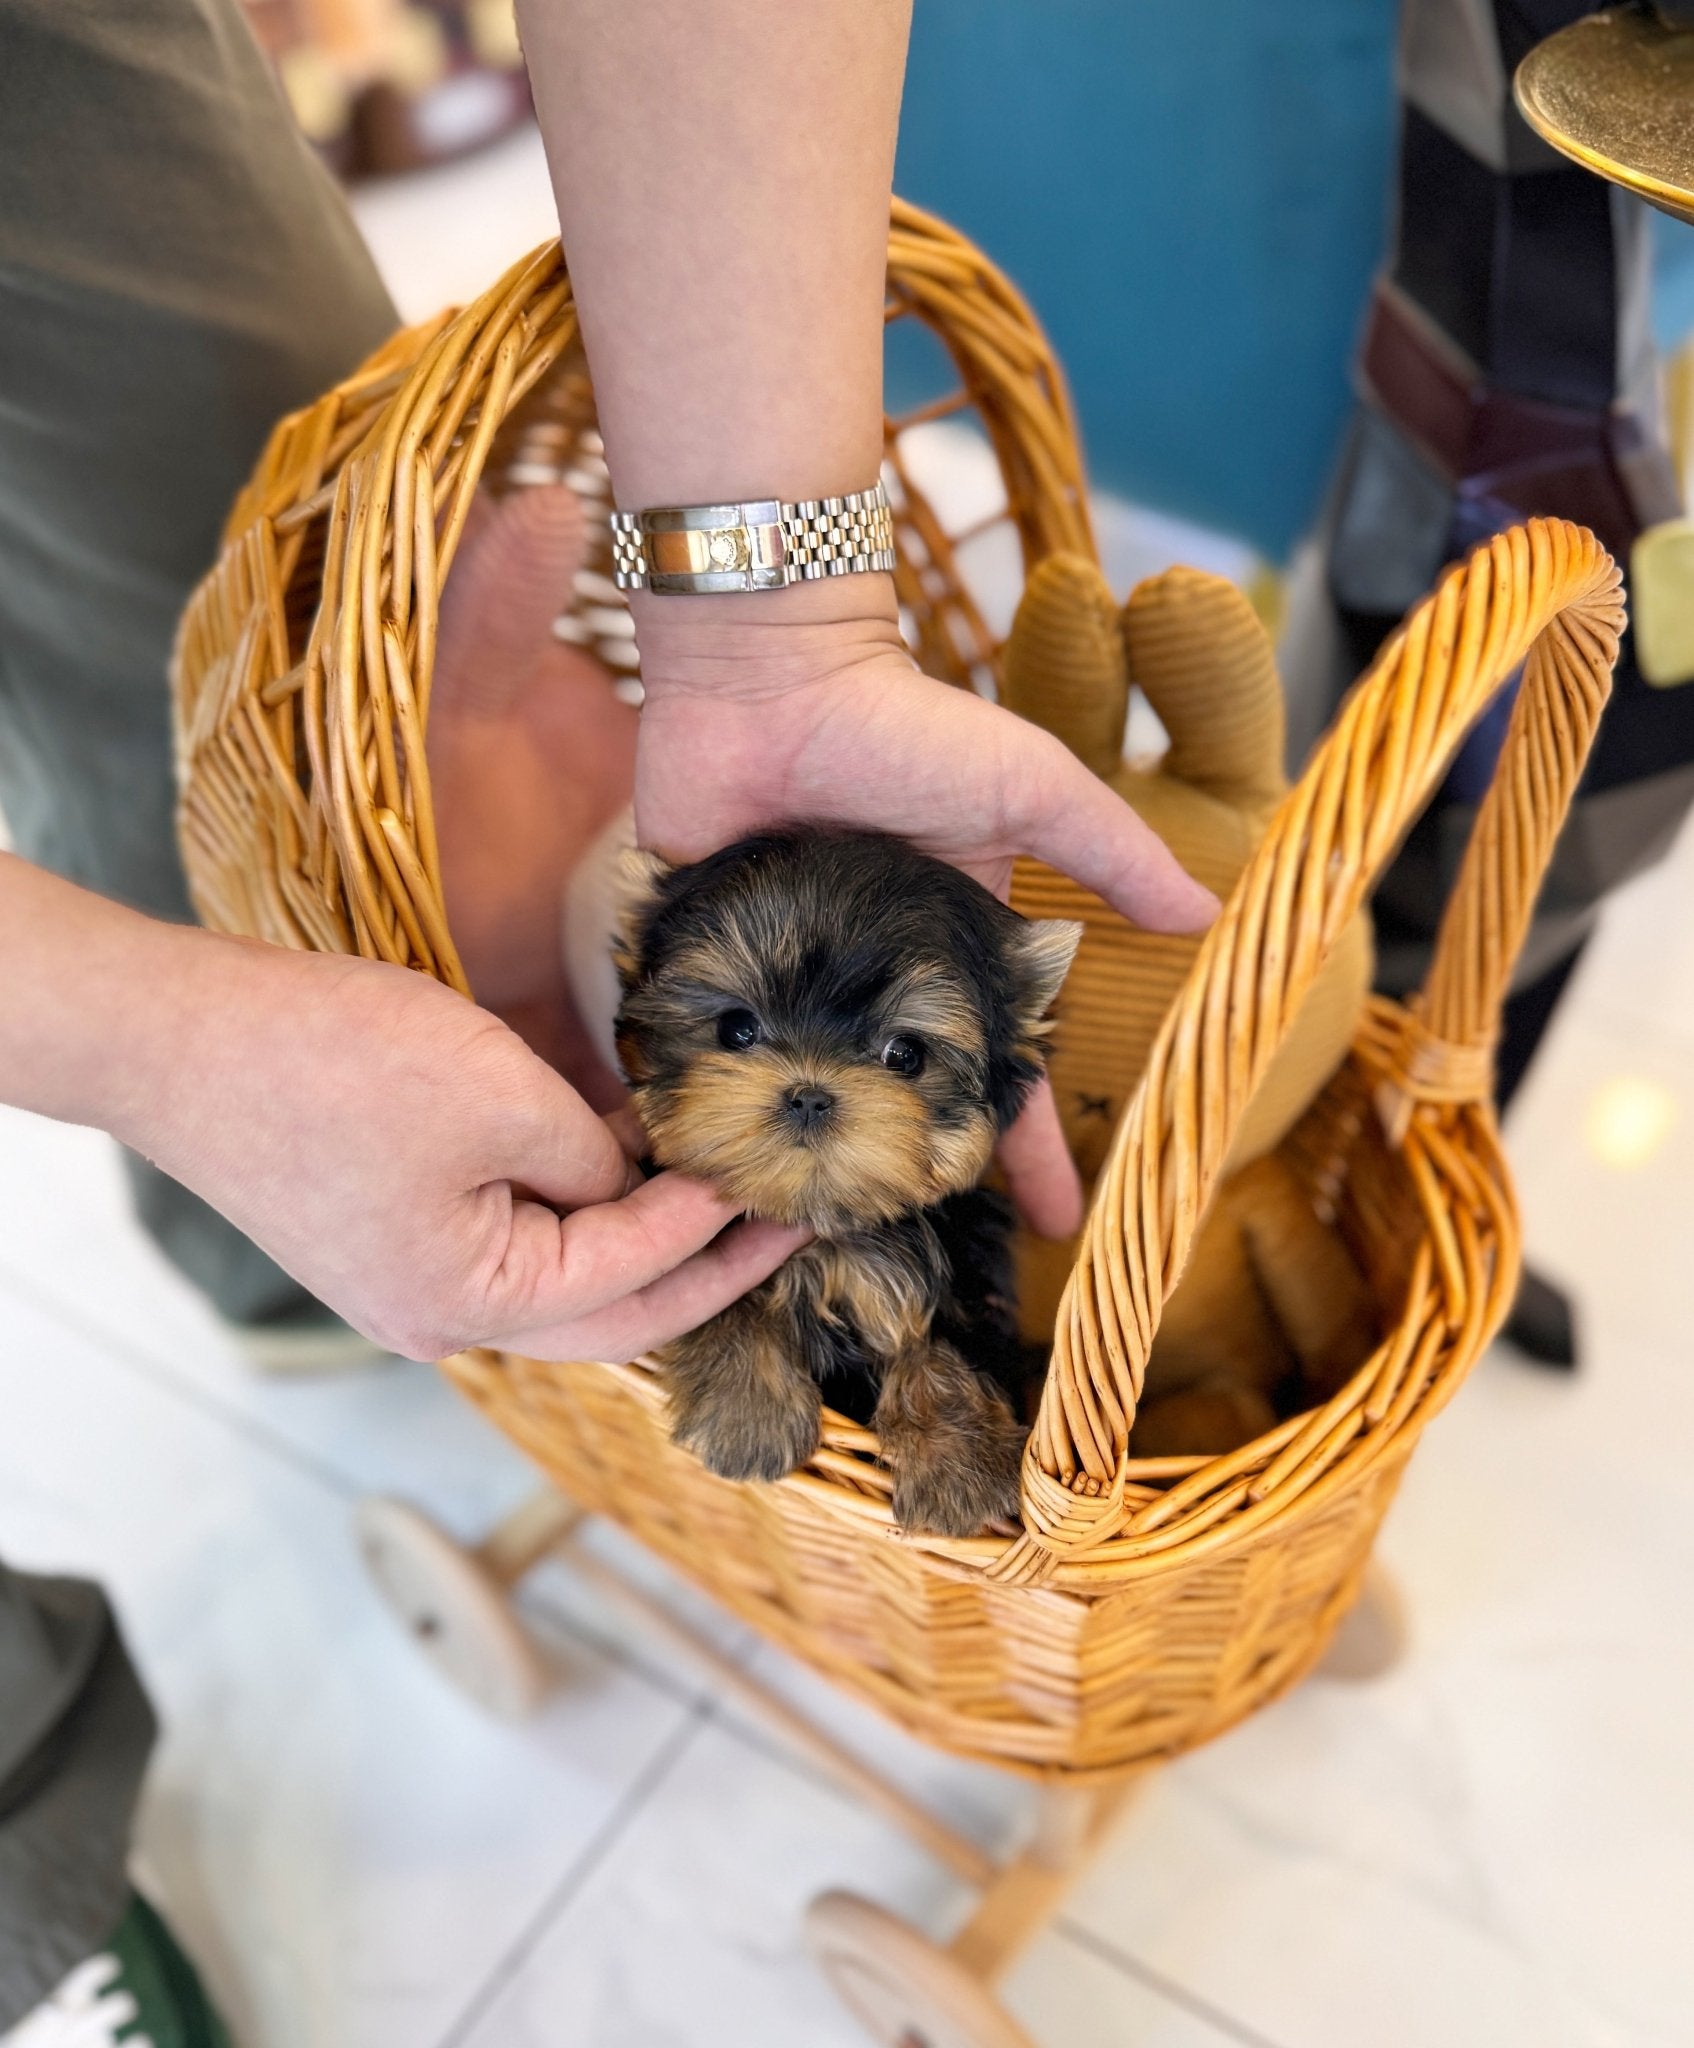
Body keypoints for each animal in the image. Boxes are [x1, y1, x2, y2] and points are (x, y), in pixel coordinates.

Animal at [614, 831, 1081, 1540]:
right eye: (736, 1029)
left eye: (905, 1054)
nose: (809, 1095)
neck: (825, 1224)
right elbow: (718, 1297)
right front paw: (746, 1416)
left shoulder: (967, 1267)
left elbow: (936, 1337)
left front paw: (960, 1466)